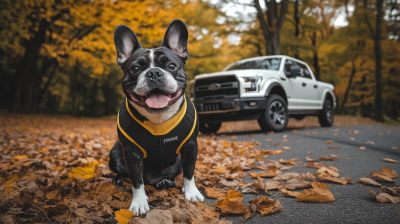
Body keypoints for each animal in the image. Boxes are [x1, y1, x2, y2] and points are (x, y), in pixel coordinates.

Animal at [108, 20, 203, 216]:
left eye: (171, 66)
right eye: (135, 69)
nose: (153, 73)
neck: (158, 117)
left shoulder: (191, 146)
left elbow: (189, 172)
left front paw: (191, 192)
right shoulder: (131, 152)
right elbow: (136, 180)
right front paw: (138, 202)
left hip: (177, 162)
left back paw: (165, 181)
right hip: (114, 153)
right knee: (129, 175)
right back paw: (118, 179)